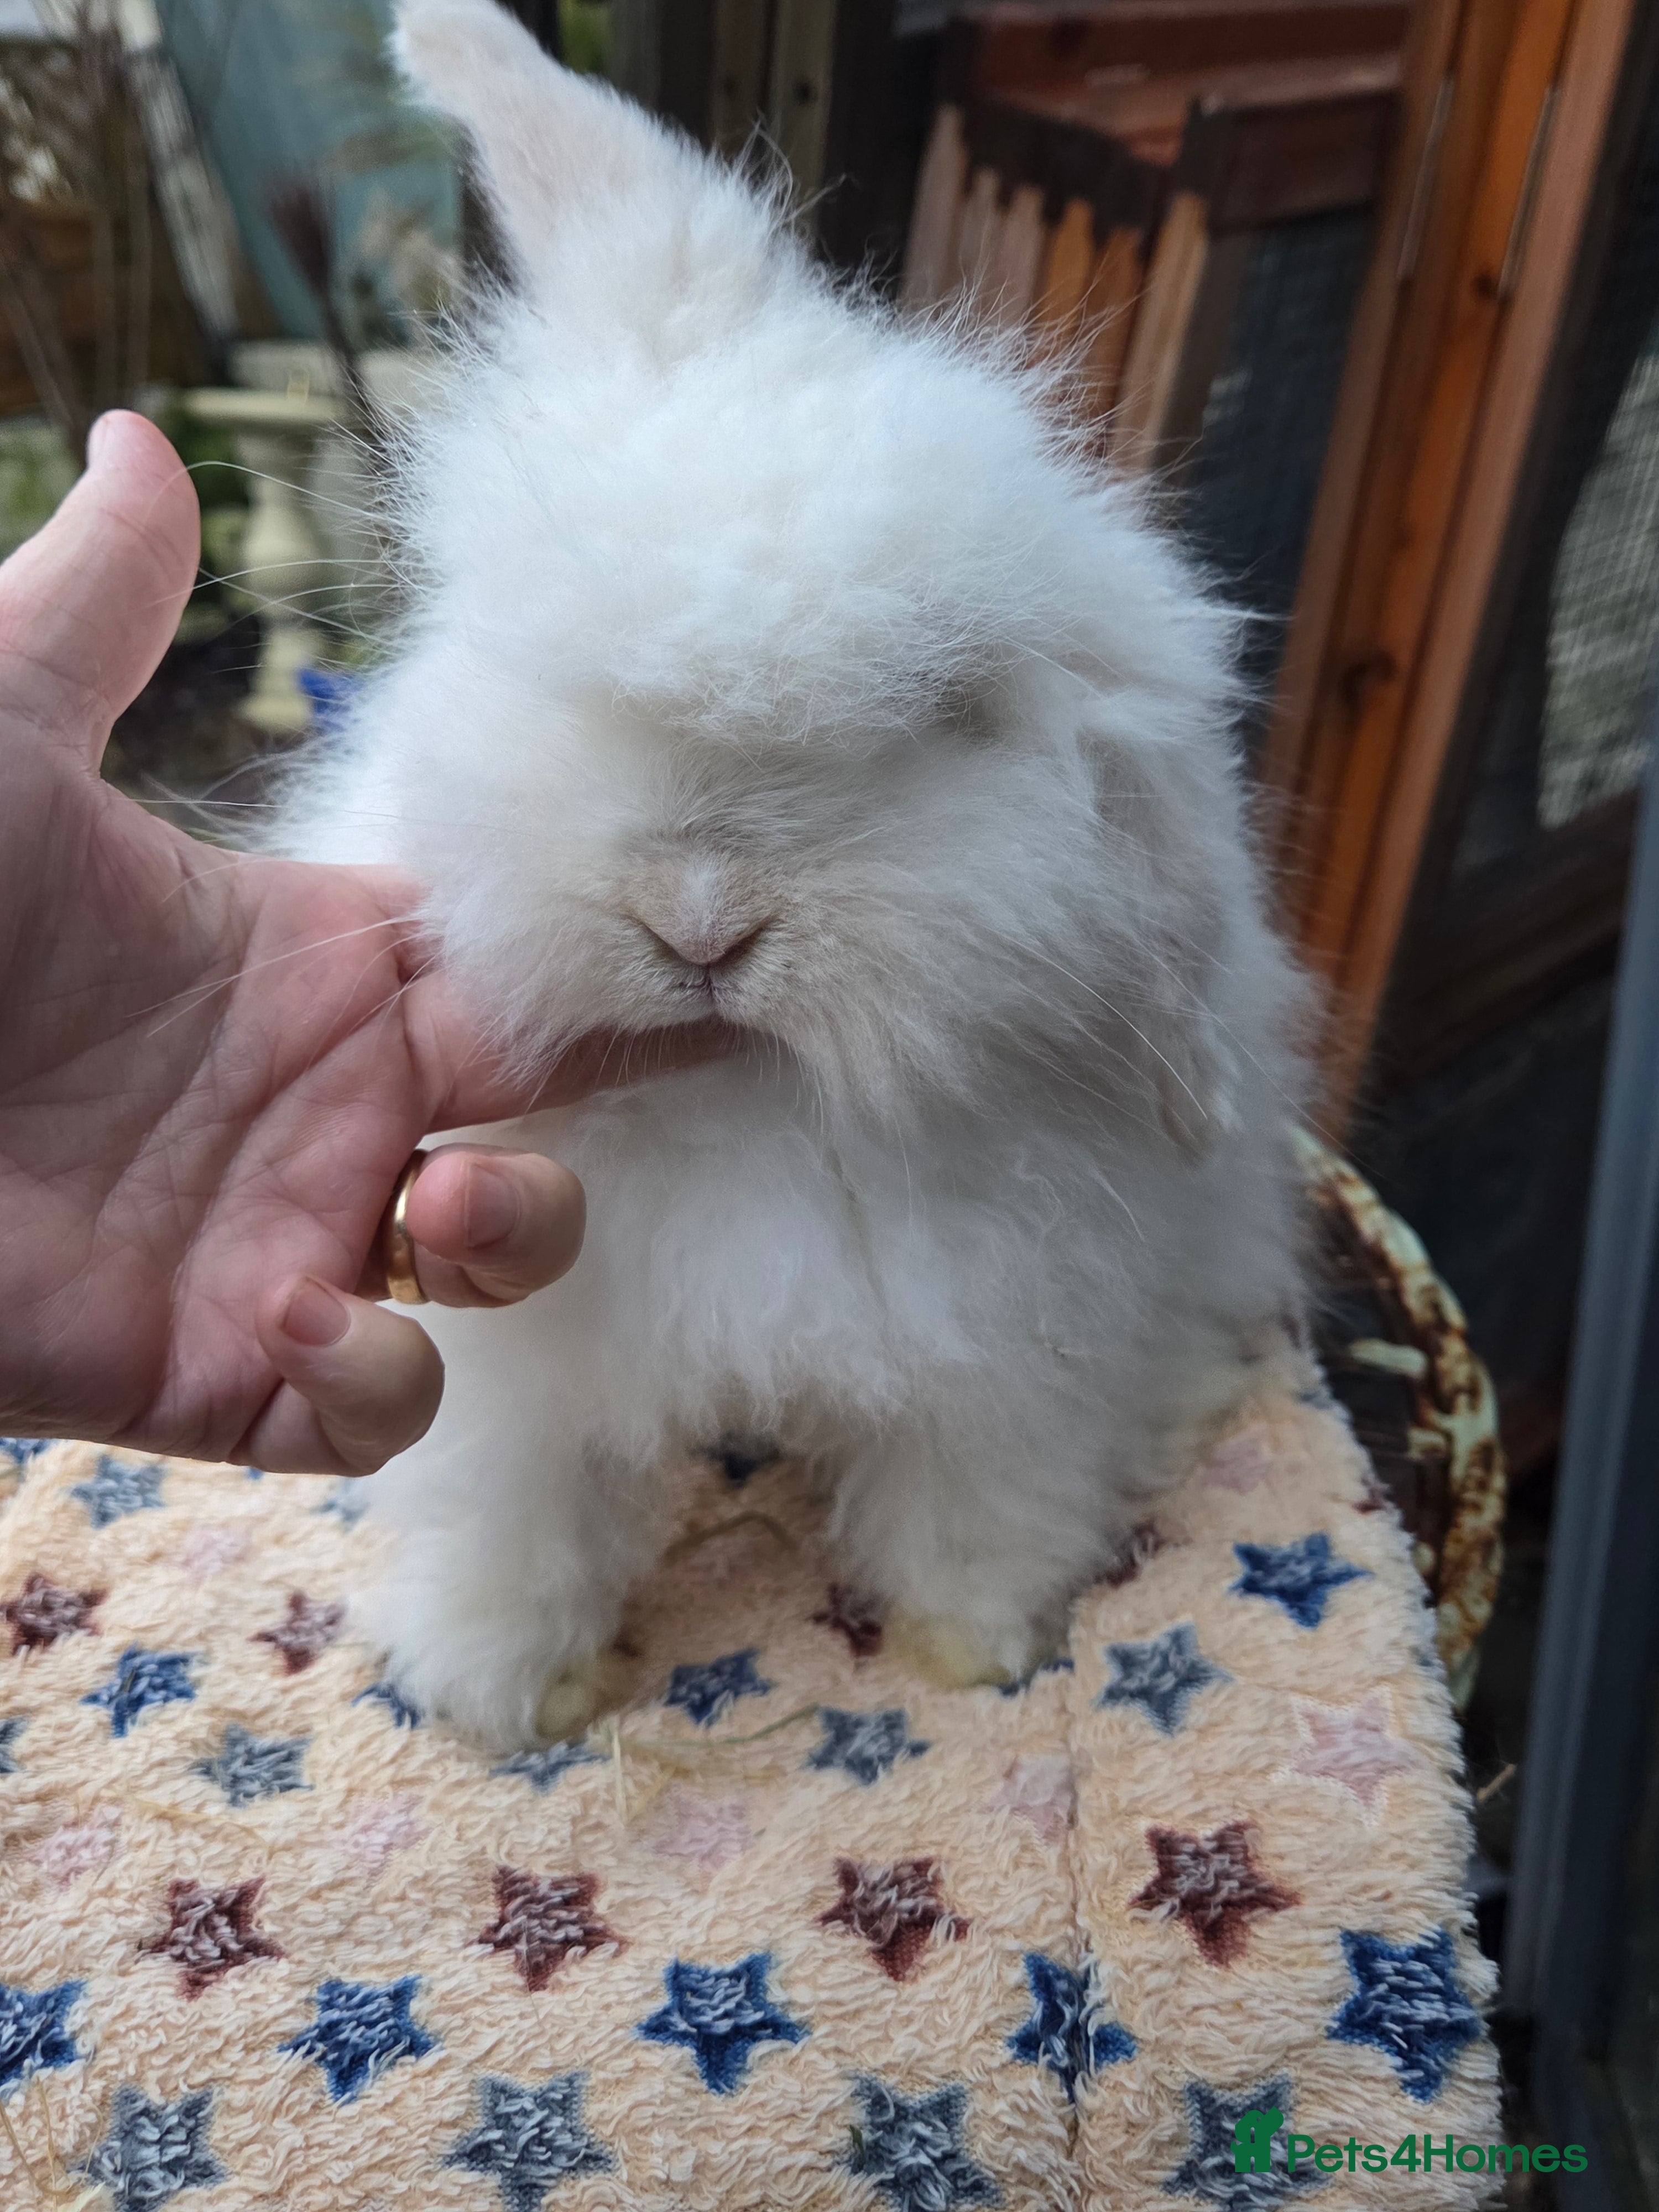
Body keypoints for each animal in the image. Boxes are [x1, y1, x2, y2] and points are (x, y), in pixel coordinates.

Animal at [273, 0, 1309, 1751]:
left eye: (947, 713)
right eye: (534, 664)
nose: (701, 920)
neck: (749, 1094)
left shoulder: (1012, 1336)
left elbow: (982, 1493)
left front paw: (981, 1644)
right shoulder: (520, 1366)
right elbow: (511, 1504)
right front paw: (493, 1688)